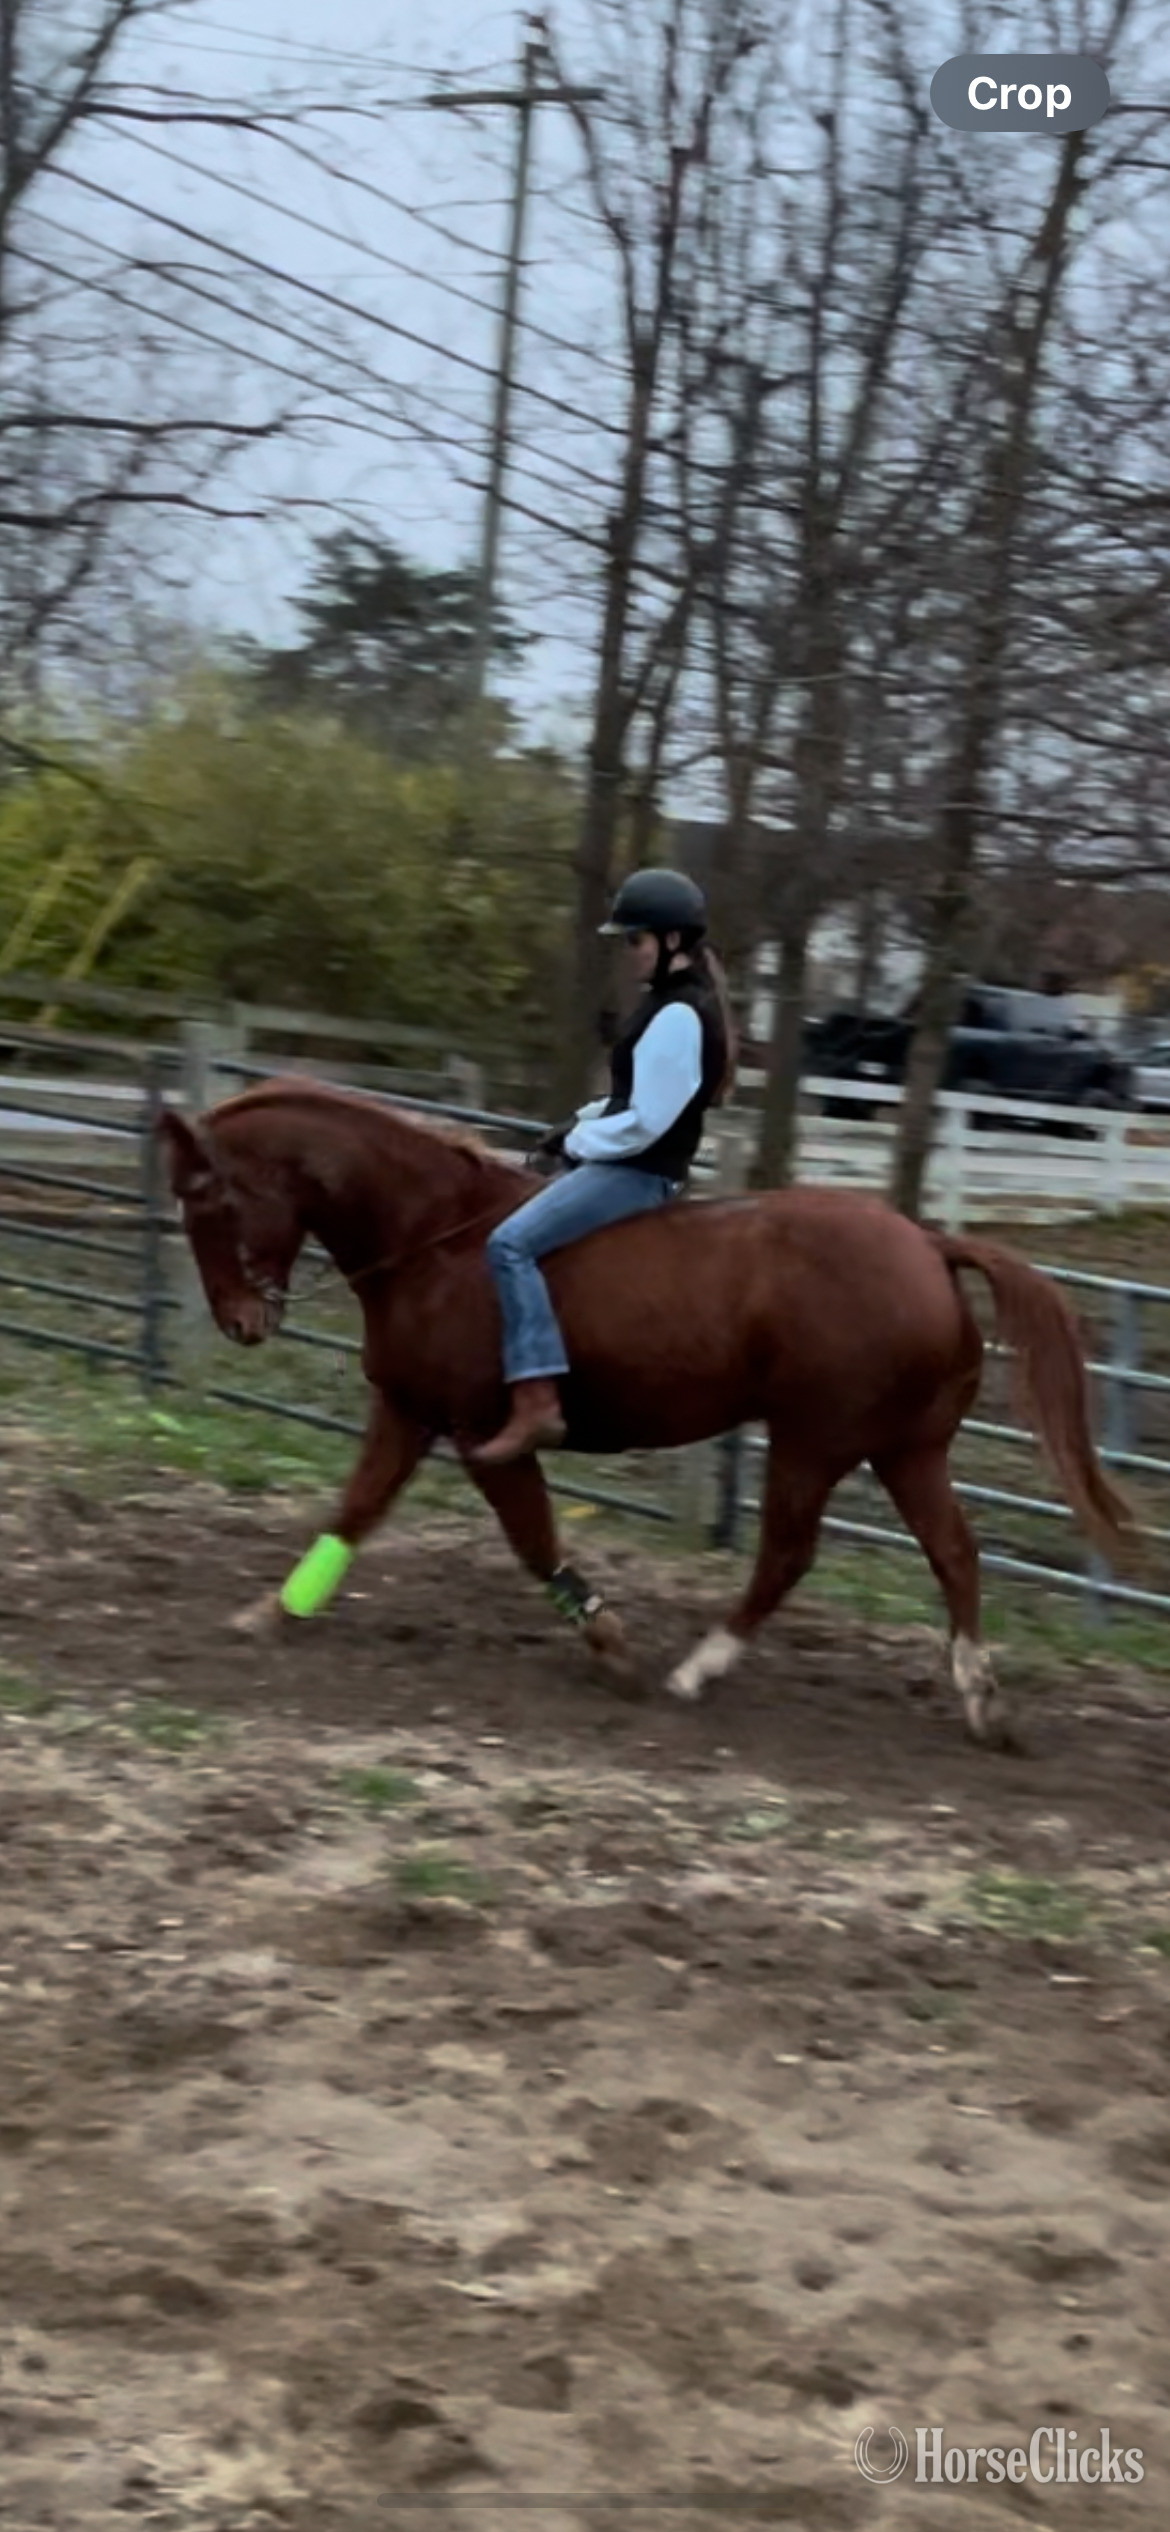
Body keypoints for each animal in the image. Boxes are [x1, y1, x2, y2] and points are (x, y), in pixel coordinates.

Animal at [158, 1075, 1134, 1743]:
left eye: (208, 1197)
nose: (240, 1322)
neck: (434, 1240)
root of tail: (930, 1246)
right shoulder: (407, 1409)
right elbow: (355, 1511)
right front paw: (274, 1612)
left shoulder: (480, 1433)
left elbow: (533, 1537)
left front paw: (611, 1645)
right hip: (905, 1449)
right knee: (954, 1553)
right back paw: (978, 1698)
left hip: (814, 1441)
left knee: (789, 1554)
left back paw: (697, 1670)